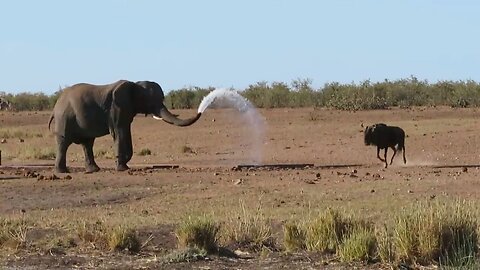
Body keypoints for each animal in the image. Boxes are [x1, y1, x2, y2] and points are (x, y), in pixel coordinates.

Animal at [50, 79, 202, 173]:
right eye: (149, 100)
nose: (200, 110)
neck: (134, 84)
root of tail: (56, 104)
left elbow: (126, 132)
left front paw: (124, 164)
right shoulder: (116, 109)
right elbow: (119, 132)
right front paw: (122, 167)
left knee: (87, 143)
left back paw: (93, 170)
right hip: (64, 119)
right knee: (64, 143)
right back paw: (63, 172)